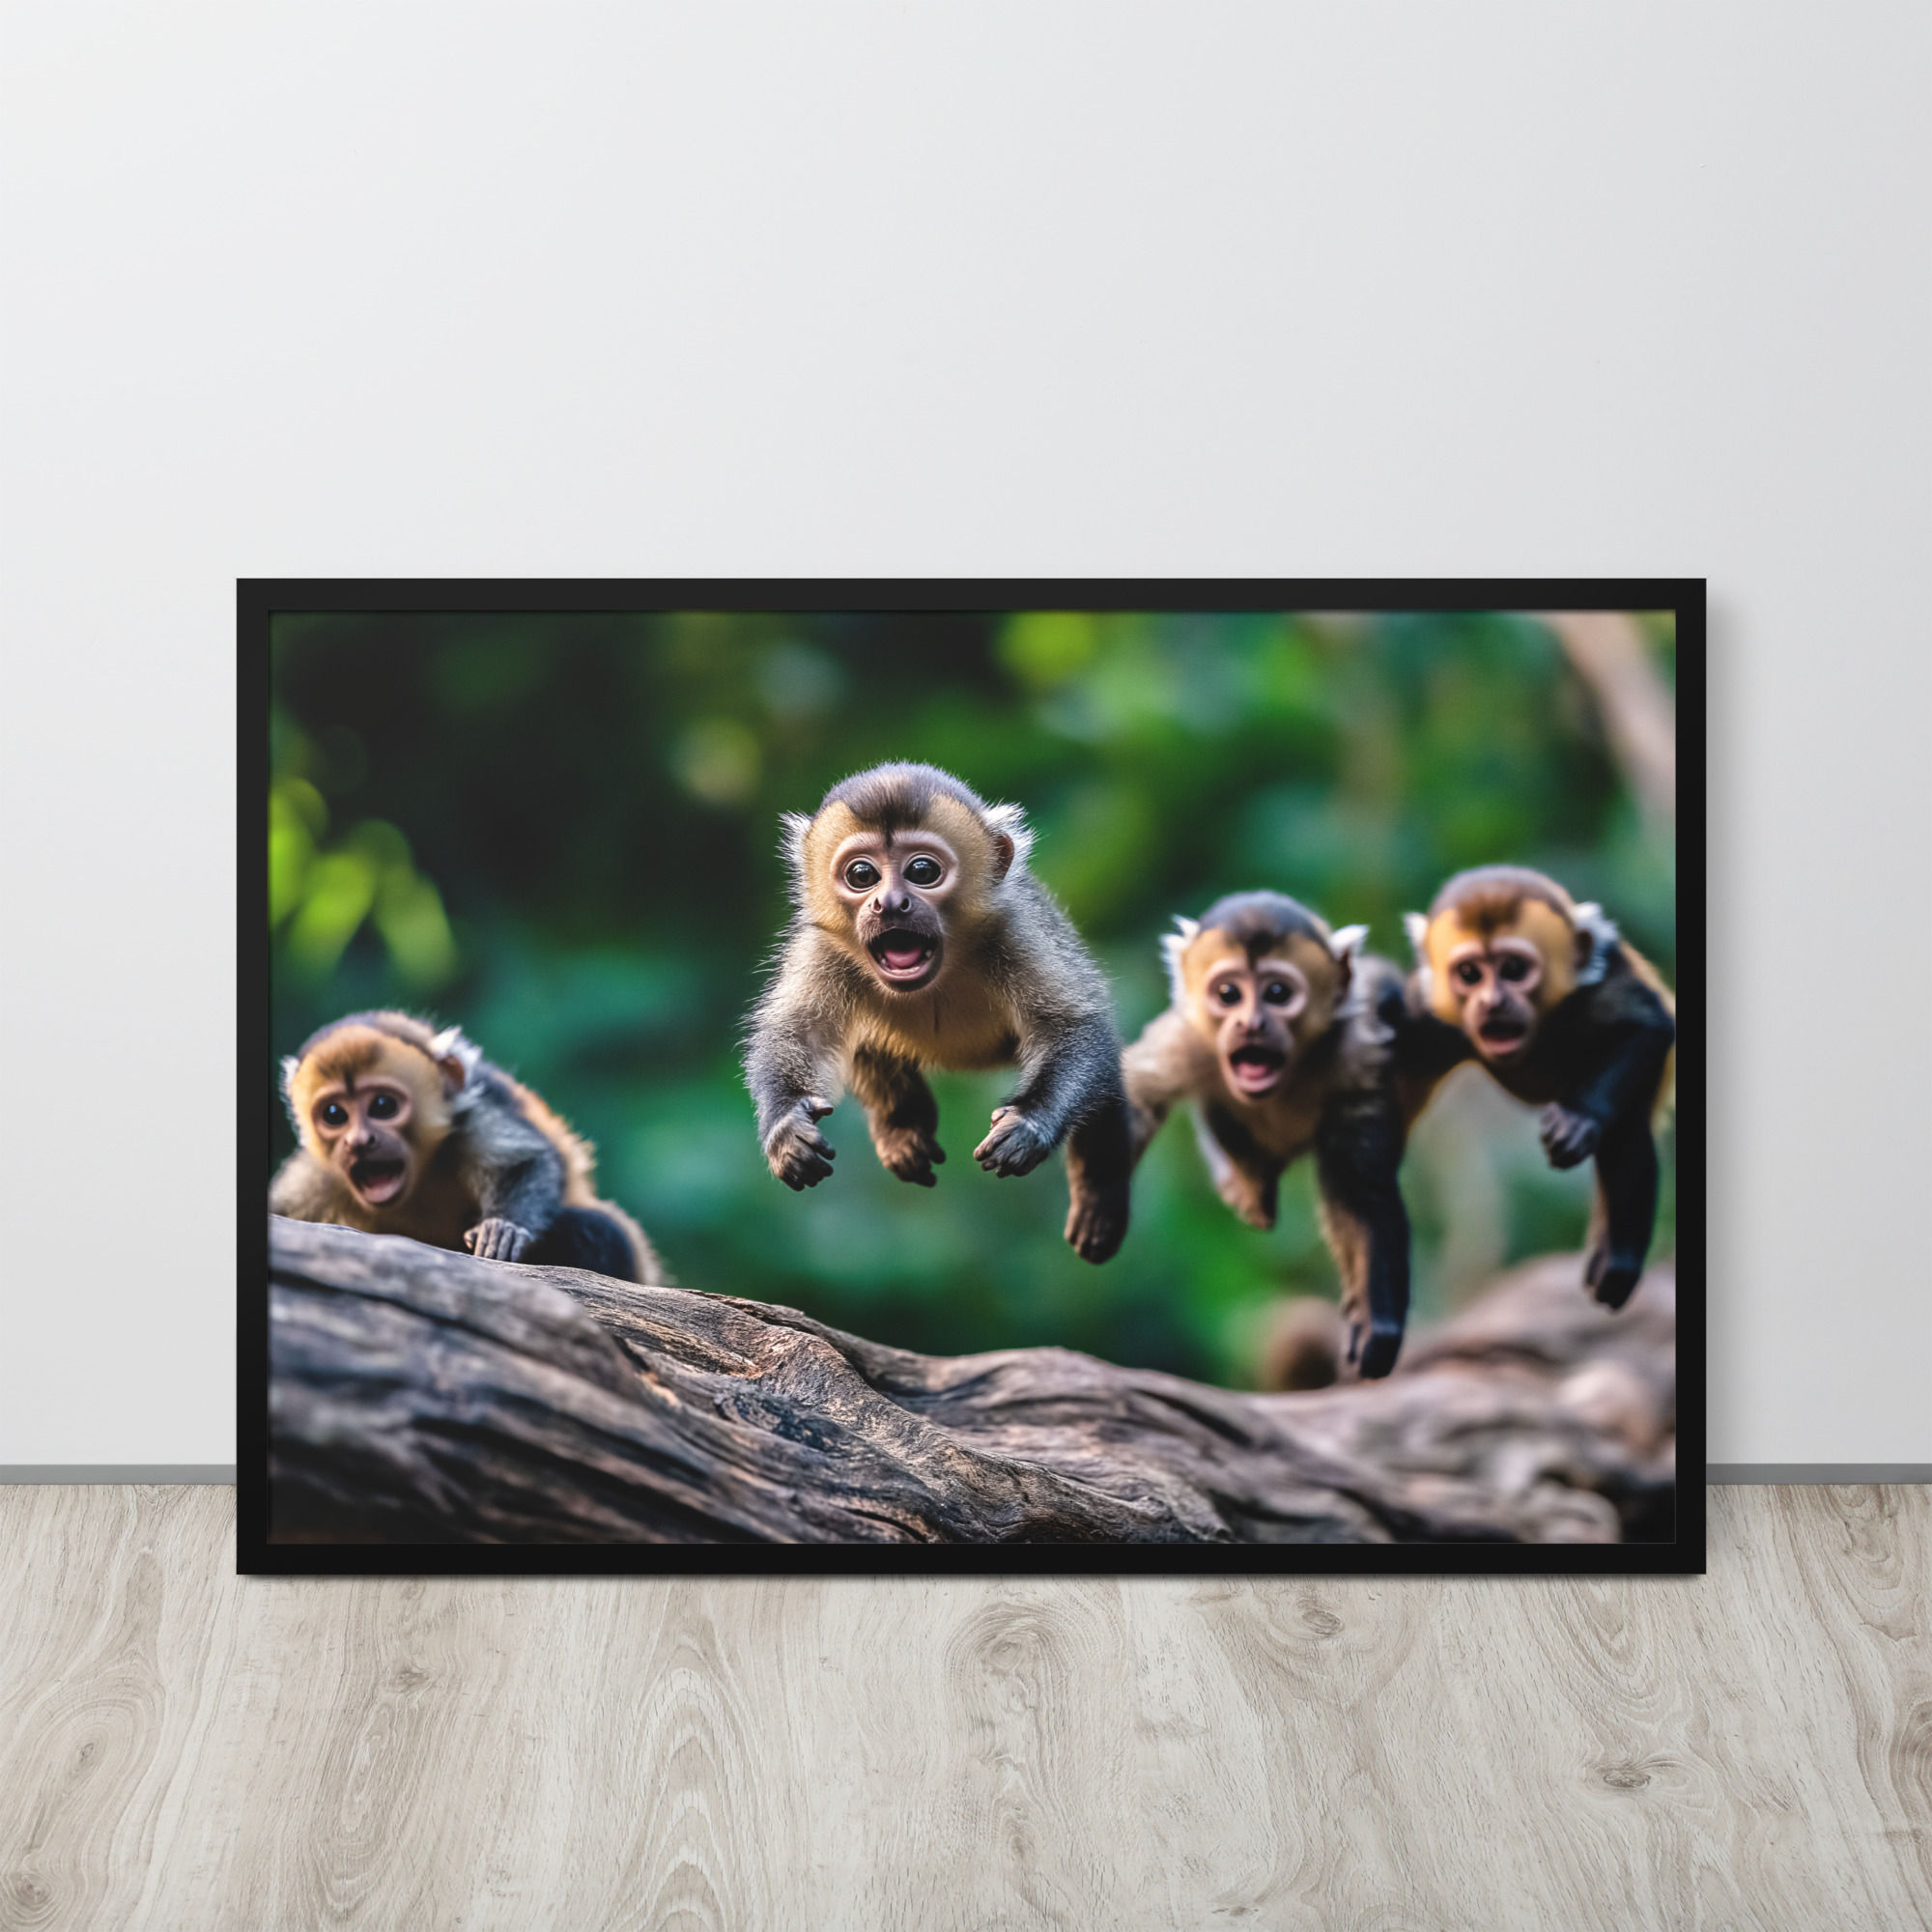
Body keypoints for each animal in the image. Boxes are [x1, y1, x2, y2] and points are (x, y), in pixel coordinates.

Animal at [270, 1010, 663, 1284]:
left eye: (383, 1106)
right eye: (335, 1114)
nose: (359, 1141)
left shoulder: (472, 1121)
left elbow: (527, 1163)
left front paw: (502, 1229)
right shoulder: (317, 1177)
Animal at [743, 762, 1132, 1264]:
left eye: (922, 871)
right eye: (862, 874)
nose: (889, 903)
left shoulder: (1016, 931)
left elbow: (1076, 1029)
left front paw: (1028, 1125)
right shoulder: (824, 948)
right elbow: (795, 1035)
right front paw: (788, 1128)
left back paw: (1099, 1196)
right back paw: (901, 1126)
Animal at [1121, 891, 1422, 1378]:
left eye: (1277, 994)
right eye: (1228, 994)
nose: (1251, 1024)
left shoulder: (1356, 1053)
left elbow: (1360, 1187)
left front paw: (1376, 1321)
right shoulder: (1183, 1042)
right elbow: (1128, 1102)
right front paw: (1097, 1209)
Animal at [1404, 865, 1676, 1312]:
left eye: (1514, 968)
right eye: (1469, 974)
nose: (1492, 1002)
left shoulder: (1596, 986)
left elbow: (1647, 1024)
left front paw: (1577, 1119)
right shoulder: (1424, 1008)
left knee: (1627, 1131)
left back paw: (1617, 1260)